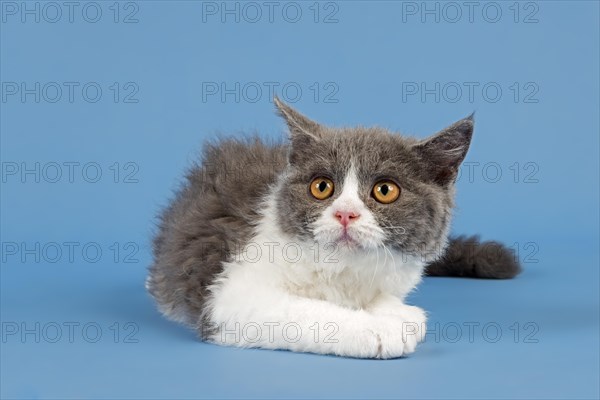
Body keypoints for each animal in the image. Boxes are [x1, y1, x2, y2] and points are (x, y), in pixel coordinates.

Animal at [146, 97, 520, 360]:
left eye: (385, 190)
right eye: (322, 187)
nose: (345, 214)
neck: (342, 269)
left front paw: (399, 314)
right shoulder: (230, 294)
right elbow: (303, 311)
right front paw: (379, 329)